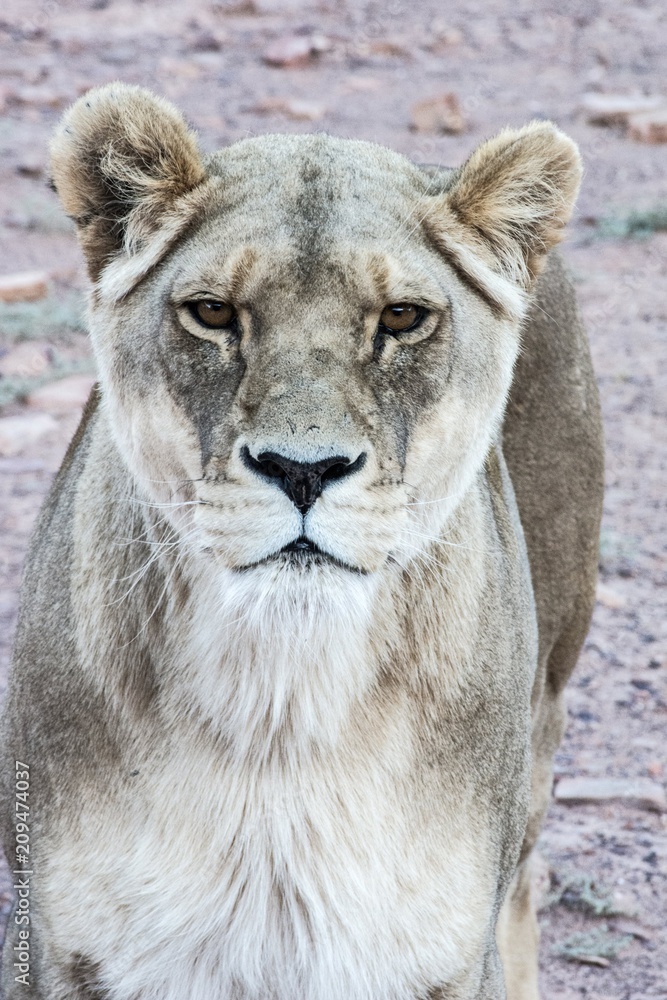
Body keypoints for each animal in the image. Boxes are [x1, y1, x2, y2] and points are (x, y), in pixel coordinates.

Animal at [0, 83, 603, 1000]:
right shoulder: (54, 947)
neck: (281, 702)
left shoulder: (449, 958)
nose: (303, 469)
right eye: (213, 313)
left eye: (402, 318)